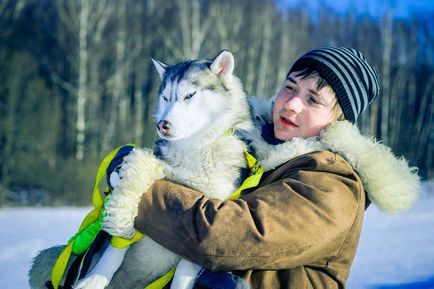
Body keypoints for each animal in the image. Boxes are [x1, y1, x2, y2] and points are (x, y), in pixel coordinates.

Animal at [28, 50, 253, 288]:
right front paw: (94, 280)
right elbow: (116, 247)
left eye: (190, 95)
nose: (162, 125)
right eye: (165, 97)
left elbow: (184, 274)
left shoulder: (204, 233)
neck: (194, 148)